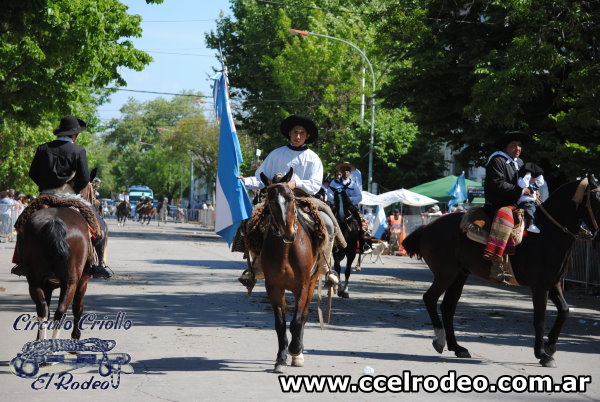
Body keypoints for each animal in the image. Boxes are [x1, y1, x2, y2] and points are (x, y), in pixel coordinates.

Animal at [258, 169, 322, 374]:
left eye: (291, 198)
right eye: (270, 200)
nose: (288, 233)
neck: (286, 249)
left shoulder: (302, 286)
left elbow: (296, 321)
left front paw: (295, 350)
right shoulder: (273, 287)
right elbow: (280, 324)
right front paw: (281, 358)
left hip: (311, 283)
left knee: (303, 316)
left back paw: (298, 353)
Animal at [400, 177, 596, 368]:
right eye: (596, 197)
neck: (548, 233)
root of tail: (427, 228)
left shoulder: (553, 283)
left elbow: (564, 310)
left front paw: (550, 345)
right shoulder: (539, 287)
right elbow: (540, 319)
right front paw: (542, 355)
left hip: (459, 276)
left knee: (448, 307)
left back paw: (457, 347)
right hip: (446, 274)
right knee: (430, 298)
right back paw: (440, 339)